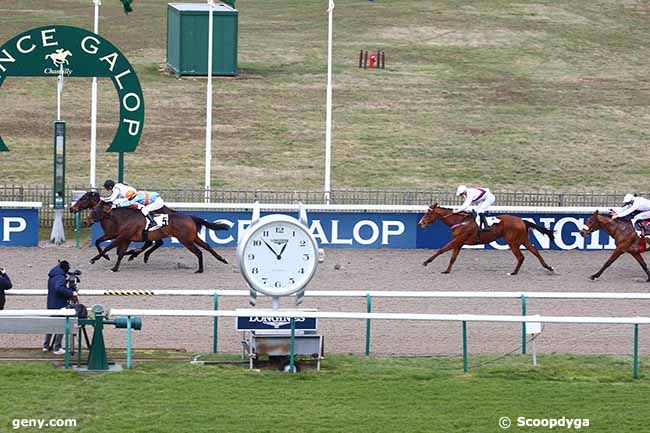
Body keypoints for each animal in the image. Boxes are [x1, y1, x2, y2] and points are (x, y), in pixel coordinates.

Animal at [85, 201, 229, 272]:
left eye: (95, 211)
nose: (86, 221)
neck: (125, 218)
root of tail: (190, 217)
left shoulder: (121, 237)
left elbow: (107, 247)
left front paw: (94, 259)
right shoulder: (125, 238)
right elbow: (119, 253)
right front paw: (115, 267)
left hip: (186, 240)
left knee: (199, 252)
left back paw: (200, 270)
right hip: (193, 237)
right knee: (207, 247)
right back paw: (222, 259)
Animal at [418, 202, 556, 274]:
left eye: (428, 213)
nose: (420, 223)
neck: (461, 221)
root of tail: (522, 220)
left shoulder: (458, 240)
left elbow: (442, 249)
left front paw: (426, 262)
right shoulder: (459, 242)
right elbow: (453, 258)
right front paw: (447, 270)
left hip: (512, 241)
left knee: (521, 257)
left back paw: (513, 272)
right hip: (522, 239)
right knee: (535, 251)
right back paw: (548, 267)